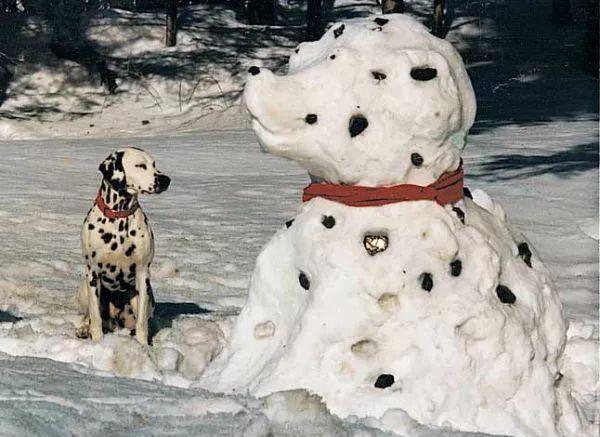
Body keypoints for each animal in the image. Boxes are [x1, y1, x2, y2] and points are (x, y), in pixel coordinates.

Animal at [76, 146, 171, 344]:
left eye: (154, 164)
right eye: (140, 165)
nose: (166, 180)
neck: (119, 218)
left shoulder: (143, 275)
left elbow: (141, 323)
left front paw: (143, 346)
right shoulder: (93, 273)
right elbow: (95, 318)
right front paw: (97, 342)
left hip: (148, 297)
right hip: (83, 289)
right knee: (89, 317)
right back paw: (84, 329)